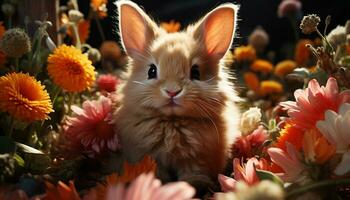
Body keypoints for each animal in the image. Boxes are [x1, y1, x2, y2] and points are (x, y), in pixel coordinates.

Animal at [114, 0, 241, 193]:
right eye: (151, 71)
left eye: (195, 72)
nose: (172, 91)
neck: (172, 121)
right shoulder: (149, 157)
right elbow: (157, 173)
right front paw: (158, 185)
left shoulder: (197, 159)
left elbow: (193, 172)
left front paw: (194, 184)